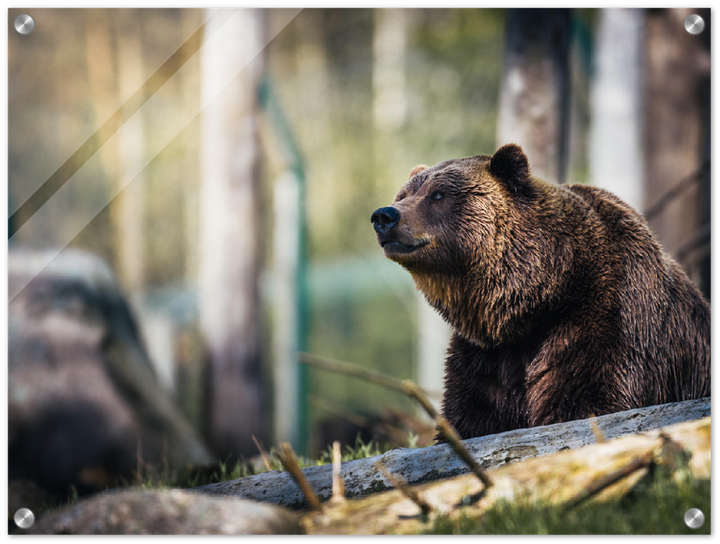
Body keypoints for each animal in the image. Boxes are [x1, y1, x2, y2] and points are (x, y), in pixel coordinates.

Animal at [371, 143, 711, 440]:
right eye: (404, 194)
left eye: (438, 194)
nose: (384, 216)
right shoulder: (485, 356)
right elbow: (471, 416)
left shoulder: (604, 319)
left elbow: (586, 401)